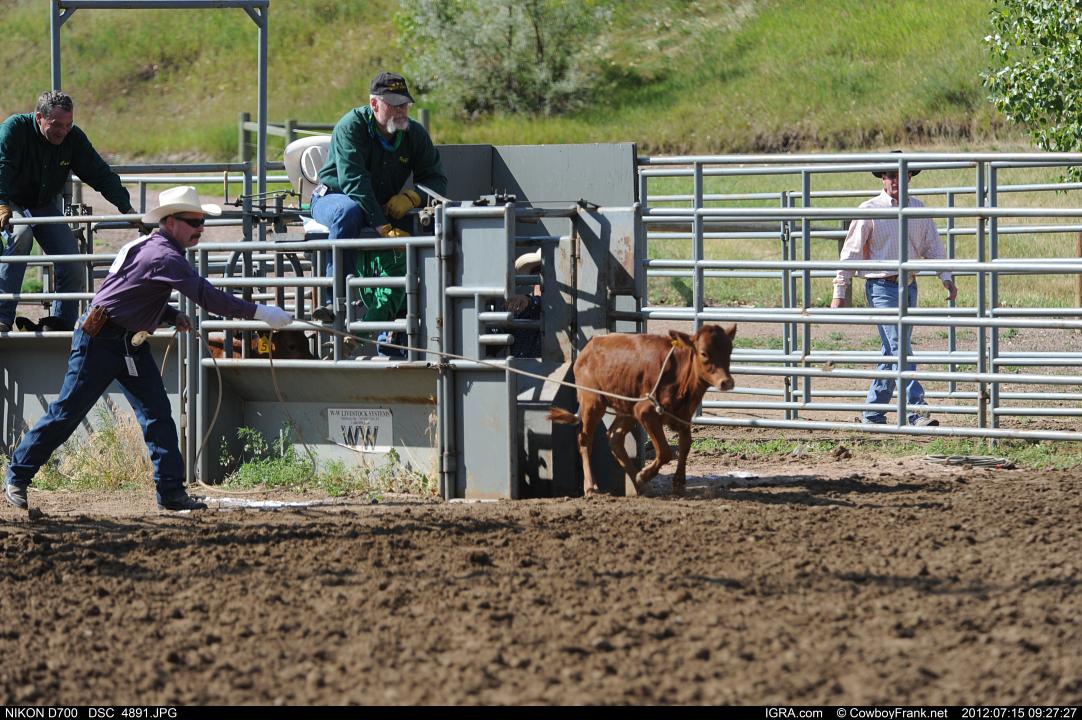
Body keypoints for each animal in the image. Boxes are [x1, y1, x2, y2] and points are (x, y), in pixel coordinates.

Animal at [548, 324, 737, 496]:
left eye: (729, 351)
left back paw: (642, 487)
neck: (680, 376)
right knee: (585, 439)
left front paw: (678, 482)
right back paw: (591, 487)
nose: (726, 382)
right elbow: (665, 451)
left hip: (627, 408)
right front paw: (644, 474)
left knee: (615, 437)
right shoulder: (646, 412)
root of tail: (589, 346)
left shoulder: (683, 417)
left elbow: (685, 447)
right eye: (704, 353)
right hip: (592, 402)